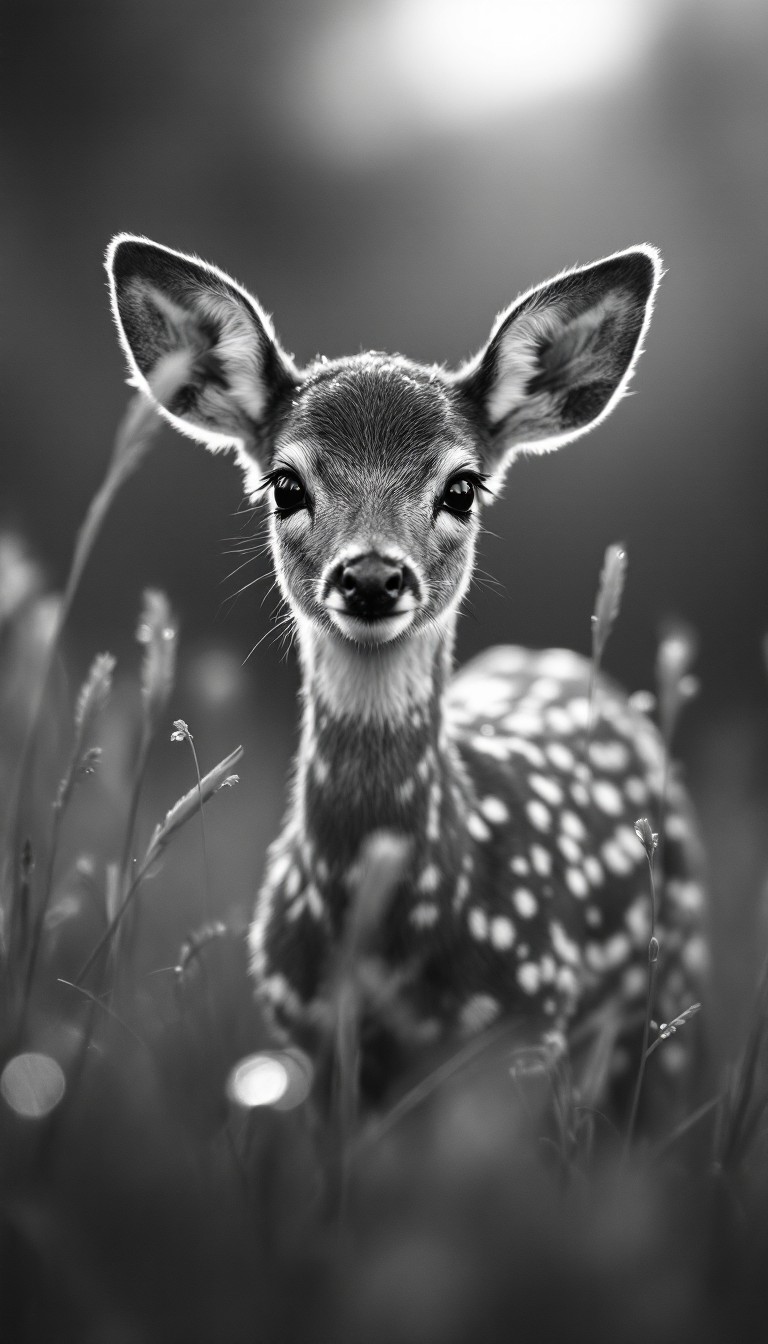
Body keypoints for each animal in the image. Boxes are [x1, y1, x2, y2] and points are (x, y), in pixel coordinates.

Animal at [106, 235, 707, 1107]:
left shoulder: (527, 1024)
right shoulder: (306, 1044)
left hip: (672, 991)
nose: (370, 577)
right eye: (286, 482)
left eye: (462, 485)